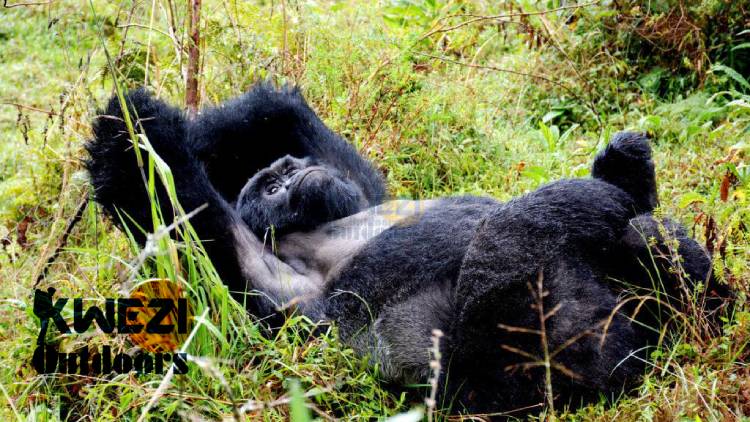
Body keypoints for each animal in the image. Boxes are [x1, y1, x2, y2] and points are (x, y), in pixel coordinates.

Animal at [85, 84, 732, 418]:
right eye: (270, 188)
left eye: (286, 173)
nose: (290, 175)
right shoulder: (269, 285)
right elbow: (180, 213)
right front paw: (134, 125)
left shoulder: (351, 183)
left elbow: (271, 114)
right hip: (528, 378)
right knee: (520, 246)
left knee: (644, 234)